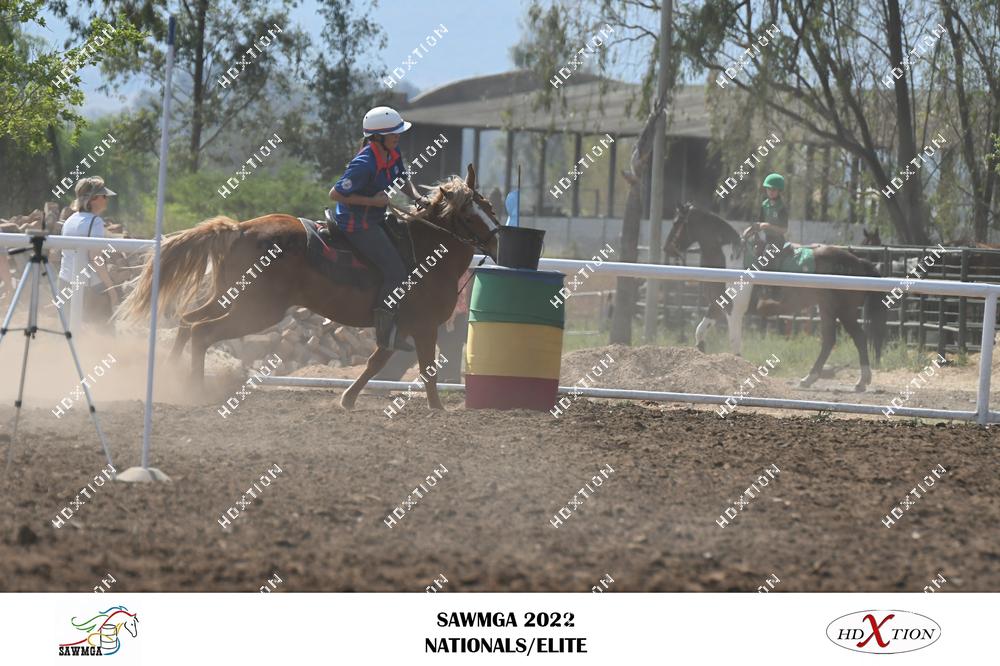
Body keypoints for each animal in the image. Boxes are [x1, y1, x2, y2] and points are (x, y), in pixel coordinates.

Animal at [117, 165, 500, 410]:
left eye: (490, 206)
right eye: (470, 215)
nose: (499, 242)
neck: (424, 248)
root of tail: (238, 229)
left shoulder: (401, 326)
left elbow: (376, 361)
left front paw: (348, 399)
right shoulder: (423, 326)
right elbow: (425, 369)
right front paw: (437, 408)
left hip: (230, 298)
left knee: (187, 321)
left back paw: (168, 377)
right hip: (256, 311)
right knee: (202, 332)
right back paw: (194, 391)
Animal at [662, 202, 742, 353]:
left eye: (675, 222)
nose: (666, 248)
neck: (730, 261)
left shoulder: (732, 309)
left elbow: (735, 344)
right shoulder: (717, 304)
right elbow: (700, 332)